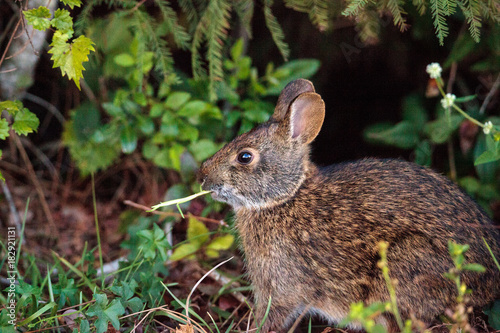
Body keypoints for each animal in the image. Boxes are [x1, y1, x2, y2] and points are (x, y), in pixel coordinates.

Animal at [196, 79, 500, 330]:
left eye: (245, 157)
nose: (202, 176)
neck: (285, 197)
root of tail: (490, 283)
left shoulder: (282, 285)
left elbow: (274, 314)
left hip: (405, 264)